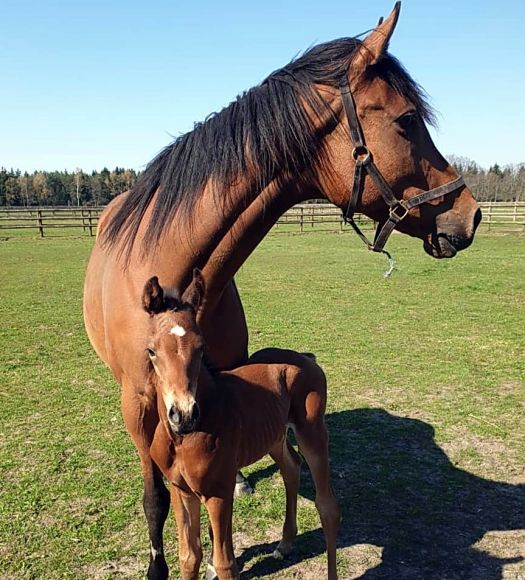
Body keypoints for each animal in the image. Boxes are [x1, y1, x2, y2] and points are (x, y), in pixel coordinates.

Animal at [143, 270, 340, 576]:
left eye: (201, 348)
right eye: (151, 351)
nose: (183, 414)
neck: (183, 438)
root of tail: (306, 359)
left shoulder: (218, 493)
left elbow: (225, 563)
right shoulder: (180, 488)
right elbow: (189, 557)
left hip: (312, 431)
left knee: (327, 506)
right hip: (274, 436)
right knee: (291, 468)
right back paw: (285, 543)